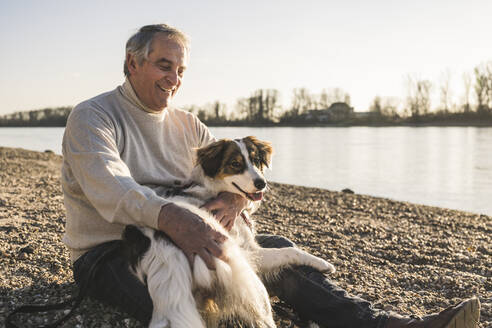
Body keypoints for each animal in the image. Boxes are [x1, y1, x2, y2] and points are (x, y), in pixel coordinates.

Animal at [122, 136, 334, 328]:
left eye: (256, 161)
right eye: (235, 164)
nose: (262, 183)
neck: (212, 190)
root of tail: (160, 244)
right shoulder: (251, 253)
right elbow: (289, 251)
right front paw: (323, 263)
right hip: (247, 279)